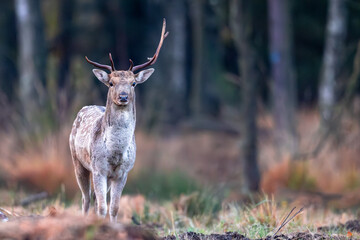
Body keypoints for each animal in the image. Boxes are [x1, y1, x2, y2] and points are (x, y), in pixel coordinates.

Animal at [69, 19, 169, 223]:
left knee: (92, 197)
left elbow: (114, 208)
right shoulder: (99, 169)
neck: (115, 152)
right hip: (77, 161)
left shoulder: (123, 172)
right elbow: (102, 207)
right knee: (85, 198)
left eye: (133, 83)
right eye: (111, 83)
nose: (123, 96)